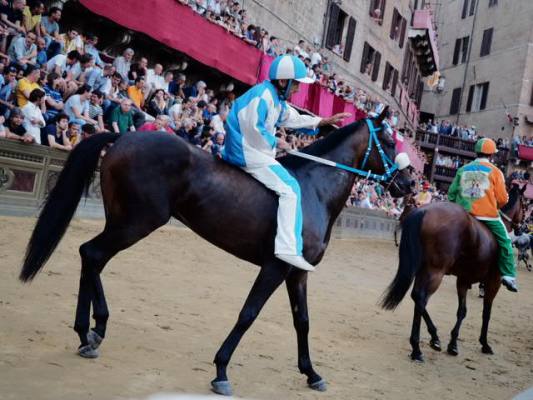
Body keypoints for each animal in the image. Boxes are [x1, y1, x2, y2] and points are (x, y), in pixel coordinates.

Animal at [17, 111, 412, 396]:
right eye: (388, 140)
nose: (409, 183)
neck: (312, 188)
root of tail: (126, 135)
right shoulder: (275, 267)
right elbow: (248, 314)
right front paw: (221, 370)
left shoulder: (297, 273)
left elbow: (303, 321)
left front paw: (312, 373)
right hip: (136, 223)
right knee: (93, 254)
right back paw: (88, 331)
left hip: (122, 221)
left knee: (91, 256)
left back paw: (92, 330)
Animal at [382, 184, 524, 362]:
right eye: (524, 205)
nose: (521, 228)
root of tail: (424, 211)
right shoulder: (494, 281)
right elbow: (486, 313)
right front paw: (484, 343)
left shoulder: (463, 280)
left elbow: (461, 311)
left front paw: (453, 344)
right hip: (436, 271)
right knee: (421, 297)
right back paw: (419, 347)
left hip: (424, 269)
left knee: (417, 296)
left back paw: (429, 340)